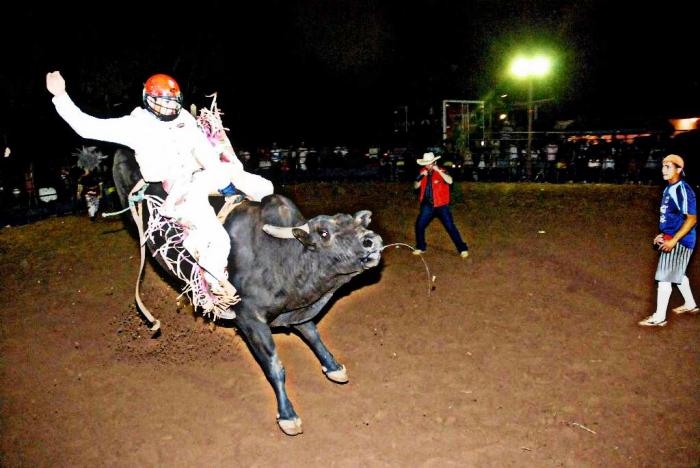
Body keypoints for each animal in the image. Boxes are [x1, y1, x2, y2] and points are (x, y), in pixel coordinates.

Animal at [113, 148, 382, 434]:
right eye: (323, 233)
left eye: (354, 223)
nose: (371, 240)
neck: (281, 256)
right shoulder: (250, 319)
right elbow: (274, 365)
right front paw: (287, 416)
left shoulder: (295, 309)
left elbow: (313, 335)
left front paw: (333, 366)